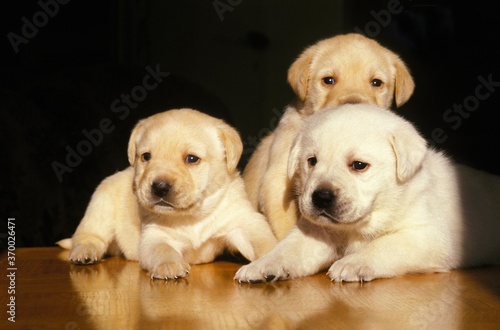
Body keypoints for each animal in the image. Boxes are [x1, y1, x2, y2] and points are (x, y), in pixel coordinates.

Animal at [59, 108, 278, 278]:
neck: (192, 216)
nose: (160, 187)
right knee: (87, 235)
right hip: (101, 204)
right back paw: (85, 251)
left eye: (191, 159)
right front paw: (169, 265)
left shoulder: (243, 223)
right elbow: (162, 249)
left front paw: (271, 260)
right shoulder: (154, 236)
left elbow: (263, 241)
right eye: (146, 157)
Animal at [235, 104, 500, 282]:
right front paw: (261, 266)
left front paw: (352, 263)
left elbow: (383, 245)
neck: (354, 228)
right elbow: (287, 250)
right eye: (311, 161)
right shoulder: (316, 232)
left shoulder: (428, 236)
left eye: (359, 165)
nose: (321, 197)